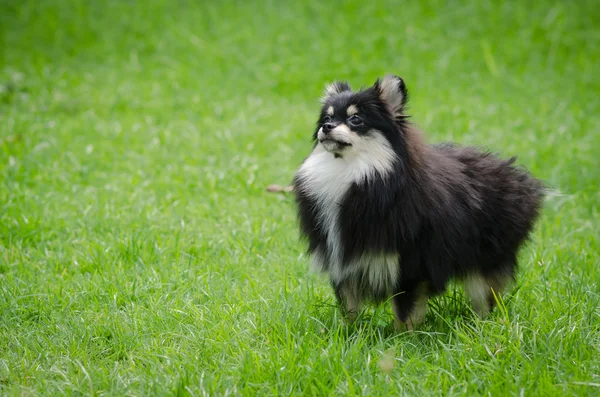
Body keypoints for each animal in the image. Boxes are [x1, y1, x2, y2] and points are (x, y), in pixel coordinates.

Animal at [292, 74, 548, 328]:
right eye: (327, 118)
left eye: (355, 119)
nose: (326, 127)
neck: (356, 173)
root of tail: (518, 177)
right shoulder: (343, 264)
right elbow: (349, 308)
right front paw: (347, 333)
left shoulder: (410, 266)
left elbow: (404, 313)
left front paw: (401, 338)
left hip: (484, 260)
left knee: (484, 297)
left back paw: (481, 327)